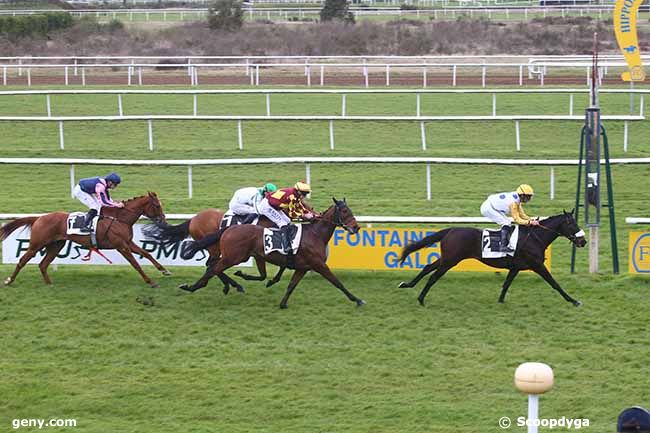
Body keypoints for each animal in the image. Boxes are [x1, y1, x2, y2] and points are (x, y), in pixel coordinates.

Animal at [0, 192, 167, 286]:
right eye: (157, 206)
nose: (164, 220)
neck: (119, 218)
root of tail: (39, 218)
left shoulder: (128, 243)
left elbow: (146, 253)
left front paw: (164, 270)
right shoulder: (121, 246)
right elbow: (135, 264)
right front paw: (150, 281)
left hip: (56, 245)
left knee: (43, 264)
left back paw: (49, 284)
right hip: (37, 244)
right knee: (23, 260)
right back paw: (9, 281)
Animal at [177, 197, 364, 308]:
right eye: (345, 211)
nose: (356, 227)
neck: (315, 234)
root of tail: (228, 229)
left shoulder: (302, 267)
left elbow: (291, 285)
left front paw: (282, 303)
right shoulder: (319, 265)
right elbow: (337, 282)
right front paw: (357, 299)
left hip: (238, 255)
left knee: (213, 268)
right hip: (232, 257)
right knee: (212, 269)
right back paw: (194, 286)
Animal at [398, 210, 584, 306]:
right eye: (572, 224)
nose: (583, 241)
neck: (534, 238)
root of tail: (451, 230)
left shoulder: (516, 267)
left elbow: (506, 284)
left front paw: (501, 301)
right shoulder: (537, 265)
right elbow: (554, 283)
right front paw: (573, 300)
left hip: (447, 257)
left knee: (427, 267)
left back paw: (407, 285)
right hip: (451, 260)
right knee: (434, 276)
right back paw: (421, 299)